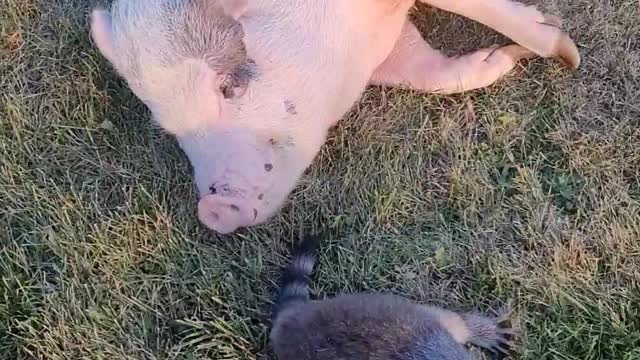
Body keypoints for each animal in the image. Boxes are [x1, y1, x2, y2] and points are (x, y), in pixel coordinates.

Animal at [89, 0, 580, 235]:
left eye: (230, 86)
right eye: (174, 131)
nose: (213, 208)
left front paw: (566, 54)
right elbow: (436, 75)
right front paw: (509, 57)